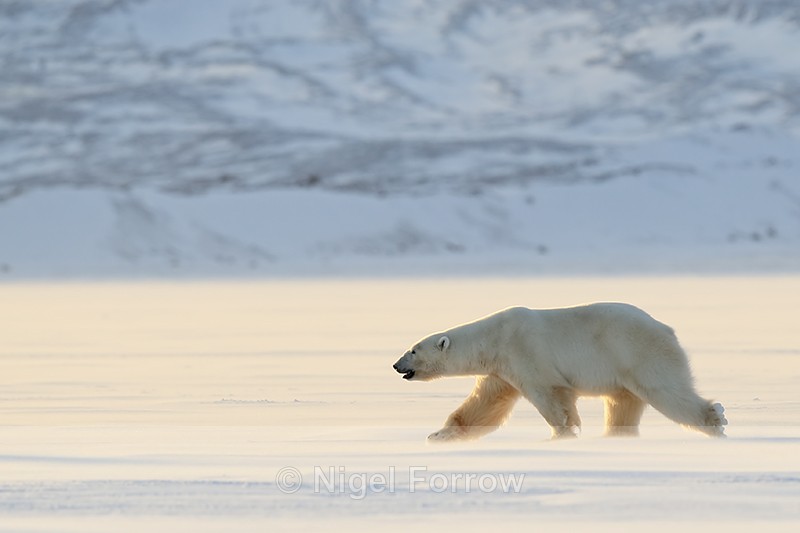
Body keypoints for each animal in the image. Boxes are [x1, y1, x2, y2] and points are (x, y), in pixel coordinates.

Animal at [392, 303, 727, 440]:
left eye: (413, 350)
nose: (396, 365)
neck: (494, 337)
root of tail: (667, 330)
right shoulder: (501, 371)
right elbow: (484, 404)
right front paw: (439, 435)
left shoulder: (524, 351)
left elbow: (551, 396)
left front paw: (563, 433)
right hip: (623, 373)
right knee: (622, 405)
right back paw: (616, 437)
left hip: (639, 354)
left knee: (666, 392)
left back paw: (716, 420)